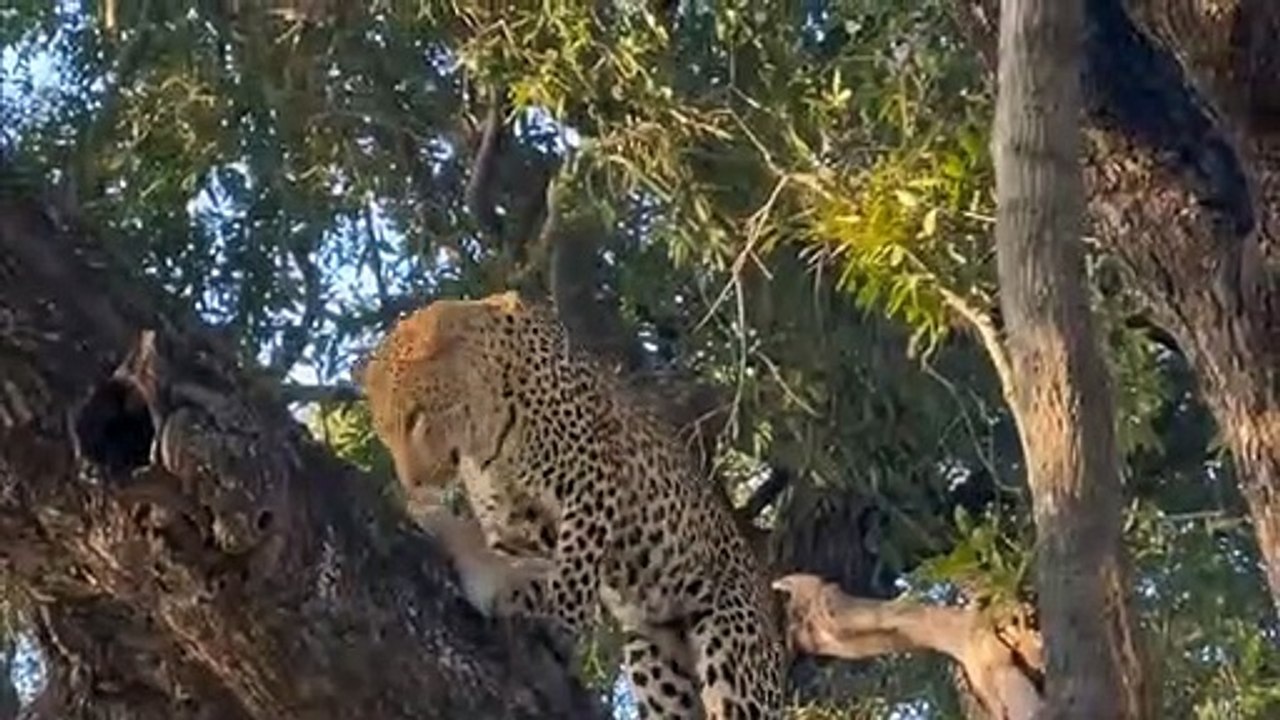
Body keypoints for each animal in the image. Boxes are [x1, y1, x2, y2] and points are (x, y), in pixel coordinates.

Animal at [358, 290, 786, 719]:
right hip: (654, 659)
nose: (412, 485)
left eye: (415, 417)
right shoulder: (515, 525)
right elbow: (523, 563)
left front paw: (561, 622)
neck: (484, 436)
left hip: (733, 651)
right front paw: (519, 594)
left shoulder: (592, 482)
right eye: (384, 432)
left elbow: (576, 563)